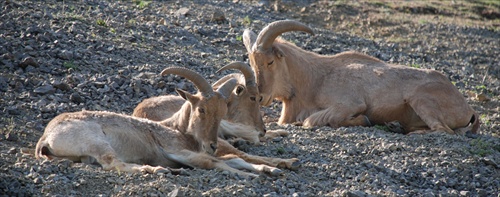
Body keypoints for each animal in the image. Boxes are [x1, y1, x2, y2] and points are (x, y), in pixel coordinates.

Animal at [34, 67, 286, 177]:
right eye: (201, 109)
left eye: (223, 111)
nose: (212, 144)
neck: (178, 131)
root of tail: (46, 137)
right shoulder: (176, 151)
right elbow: (214, 162)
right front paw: (252, 175)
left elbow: (233, 158)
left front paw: (271, 169)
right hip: (95, 141)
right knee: (113, 164)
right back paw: (156, 169)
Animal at [242, 19, 480, 134]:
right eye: (252, 63)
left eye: (270, 61)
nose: (261, 96)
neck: (316, 79)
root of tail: (468, 109)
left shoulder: (349, 103)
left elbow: (312, 120)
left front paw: (363, 120)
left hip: (421, 99)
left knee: (444, 131)